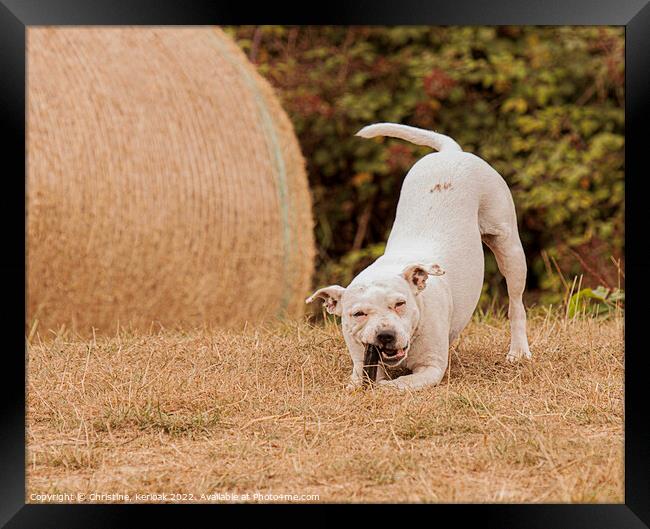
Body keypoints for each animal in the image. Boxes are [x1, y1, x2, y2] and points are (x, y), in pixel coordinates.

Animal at [306, 121, 528, 390]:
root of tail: (450, 153)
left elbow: (401, 383)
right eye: (358, 314)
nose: (385, 335)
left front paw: (387, 387)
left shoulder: (431, 368)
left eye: (400, 303)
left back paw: (518, 351)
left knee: (516, 303)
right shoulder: (362, 363)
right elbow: (359, 379)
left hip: (508, 245)